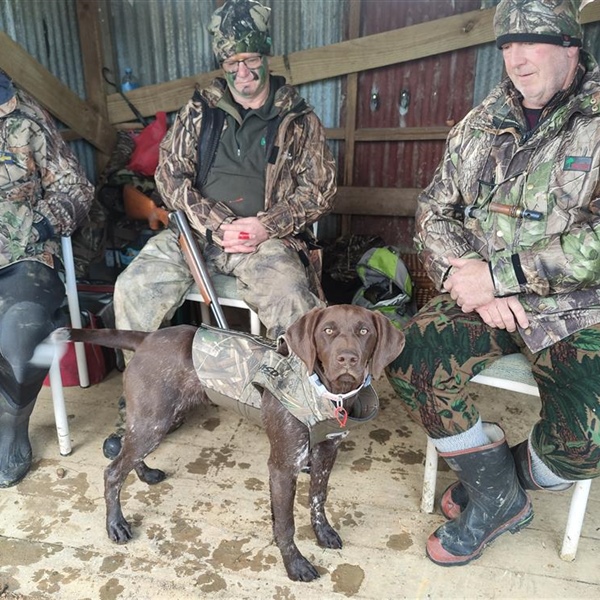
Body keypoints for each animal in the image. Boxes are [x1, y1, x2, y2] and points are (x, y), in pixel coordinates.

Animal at [63, 304, 406, 580]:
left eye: (364, 331)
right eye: (328, 331)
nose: (347, 358)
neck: (323, 393)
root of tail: (146, 338)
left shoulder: (326, 454)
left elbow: (318, 500)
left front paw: (324, 534)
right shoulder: (283, 466)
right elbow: (286, 524)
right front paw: (295, 565)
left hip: (155, 419)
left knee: (127, 450)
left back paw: (145, 473)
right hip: (154, 419)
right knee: (112, 471)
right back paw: (116, 525)